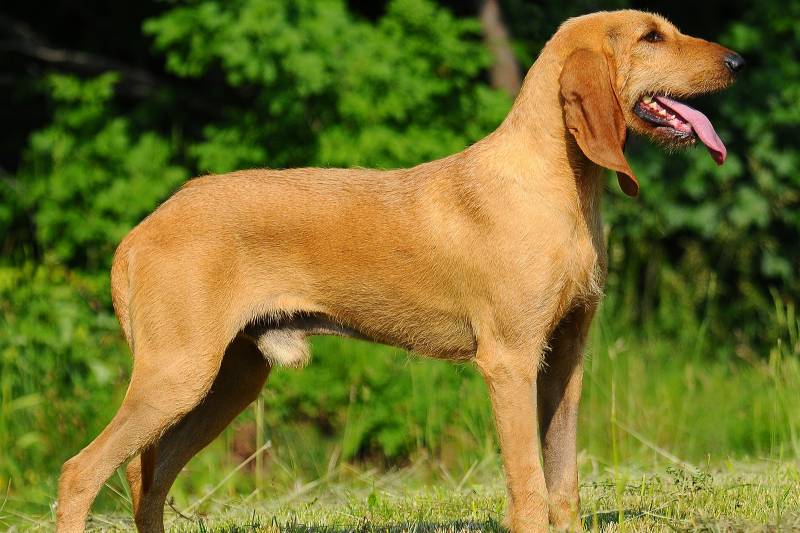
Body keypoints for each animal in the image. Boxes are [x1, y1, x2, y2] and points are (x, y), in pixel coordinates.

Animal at [56, 9, 744, 532]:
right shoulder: (510, 360)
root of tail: (136, 234)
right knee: (81, 472)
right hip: (177, 374)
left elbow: (563, 483)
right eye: (651, 37)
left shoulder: (566, 361)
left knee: (147, 477)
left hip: (230, 381)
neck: (556, 186)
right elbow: (528, 487)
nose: (738, 62)